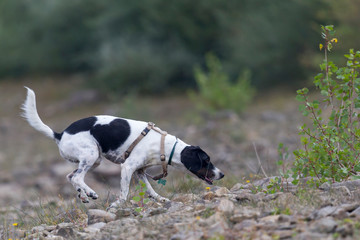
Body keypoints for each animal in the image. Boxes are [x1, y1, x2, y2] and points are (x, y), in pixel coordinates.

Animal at [21, 87, 224, 209]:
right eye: (206, 160)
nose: (221, 174)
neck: (163, 146)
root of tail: (60, 134)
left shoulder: (139, 171)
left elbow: (150, 190)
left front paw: (159, 199)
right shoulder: (127, 168)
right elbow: (125, 192)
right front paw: (118, 205)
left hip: (94, 160)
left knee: (71, 176)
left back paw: (84, 195)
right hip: (91, 155)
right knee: (77, 176)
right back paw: (91, 192)